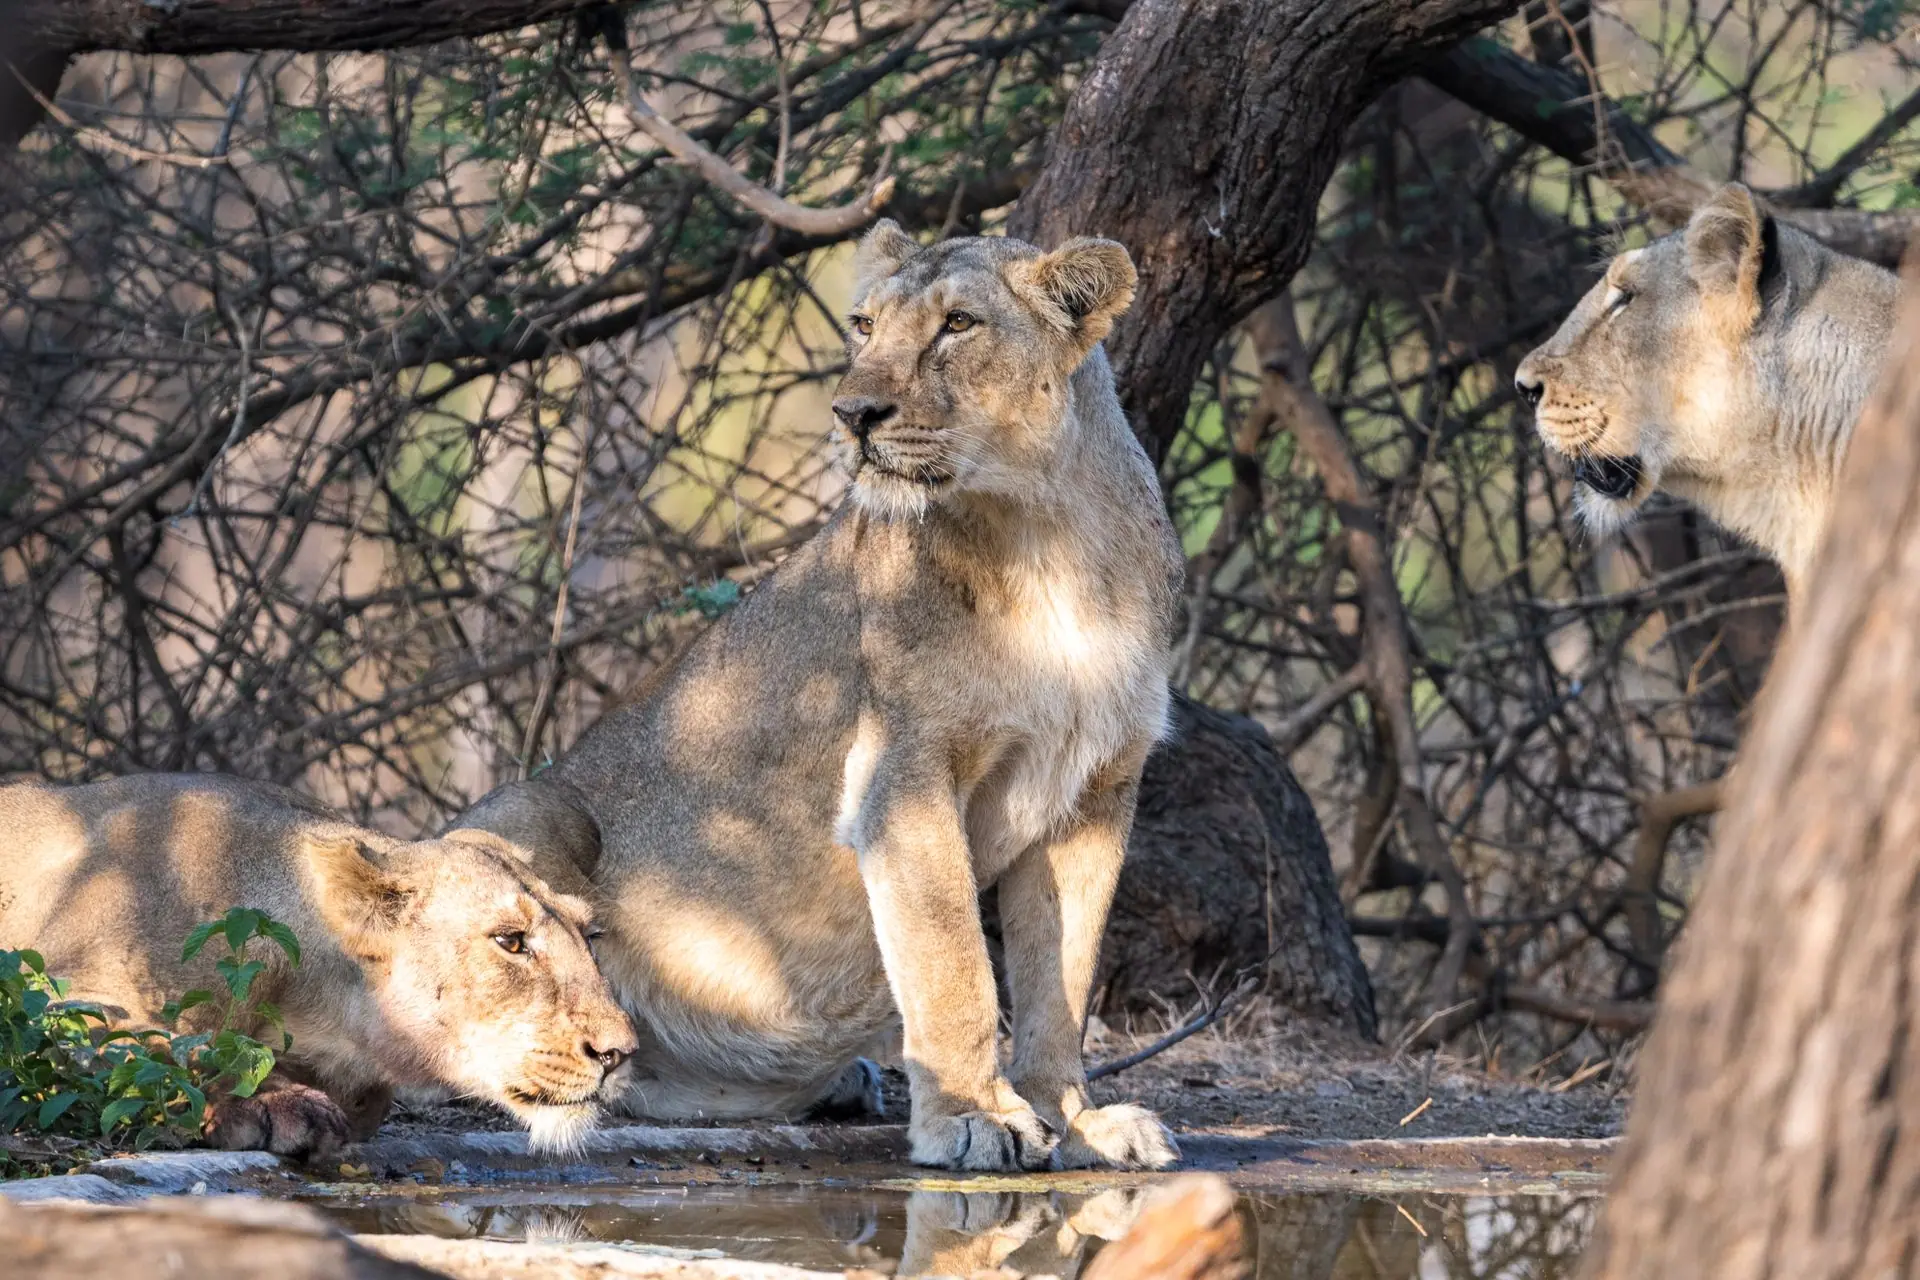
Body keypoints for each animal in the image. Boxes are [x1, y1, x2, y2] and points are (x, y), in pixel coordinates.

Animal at [0, 773, 637, 1161]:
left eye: (589, 935)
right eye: (510, 941)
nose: (619, 1054)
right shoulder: (60, 1000)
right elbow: (171, 1056)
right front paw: (273, 1105)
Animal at [455, 222, 1184, 1172]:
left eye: (958, 323)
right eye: (864, 326)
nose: (853, 415)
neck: (1047, 535)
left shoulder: (1098, 789)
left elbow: (1062, 974)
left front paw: (1077, 1120)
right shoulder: (903, 773)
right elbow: (955, 964)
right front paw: (976, 1117)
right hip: (524, 814)